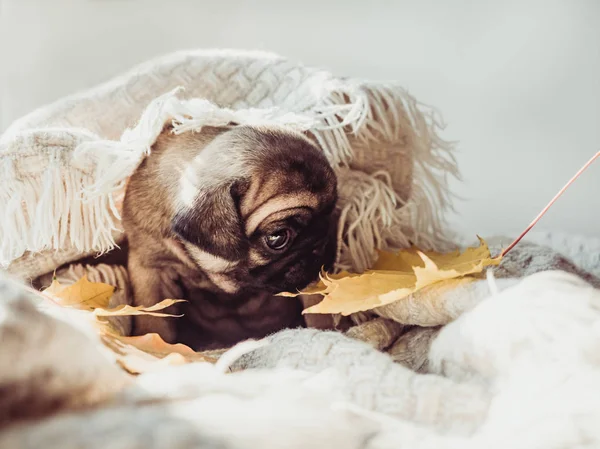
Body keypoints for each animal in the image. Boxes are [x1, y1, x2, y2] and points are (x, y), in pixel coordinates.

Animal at [122, 124, 338, 348]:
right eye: (277, 238)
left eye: (331, 211)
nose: (322, 241)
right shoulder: (152, 271)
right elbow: (154, 319)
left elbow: (318, 312)